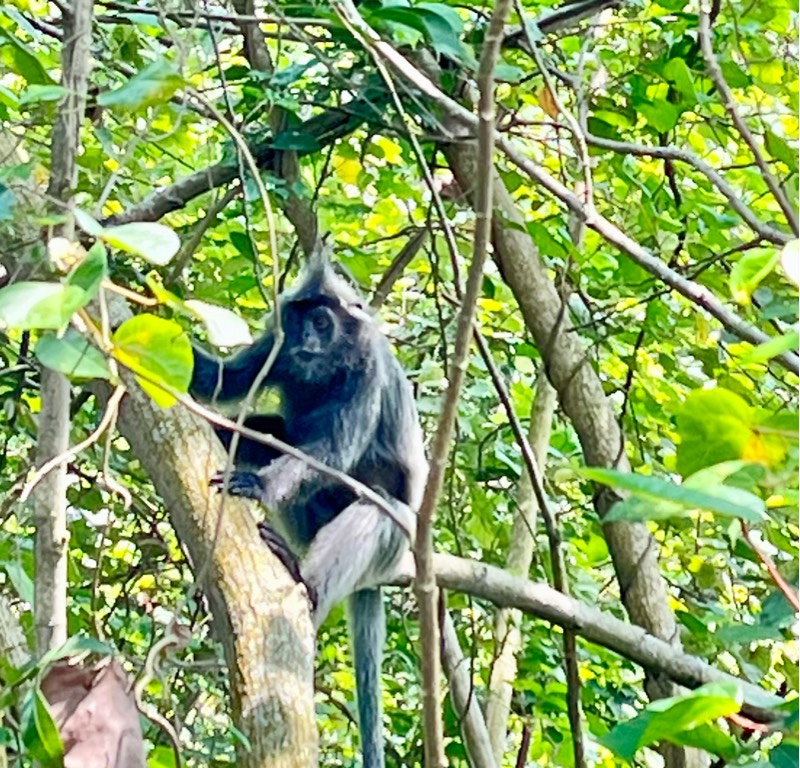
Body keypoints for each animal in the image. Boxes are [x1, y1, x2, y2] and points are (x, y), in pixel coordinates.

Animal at [191, 254, 428, 768]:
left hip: (397, 537)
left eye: (322, 323)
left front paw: (260, 485)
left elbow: (331, 452)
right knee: (274, 431)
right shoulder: (277, 349)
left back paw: (305, 580)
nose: (307, 341)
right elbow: (221, 381)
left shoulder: (367, 371)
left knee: (373, 510)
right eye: (300, 323)